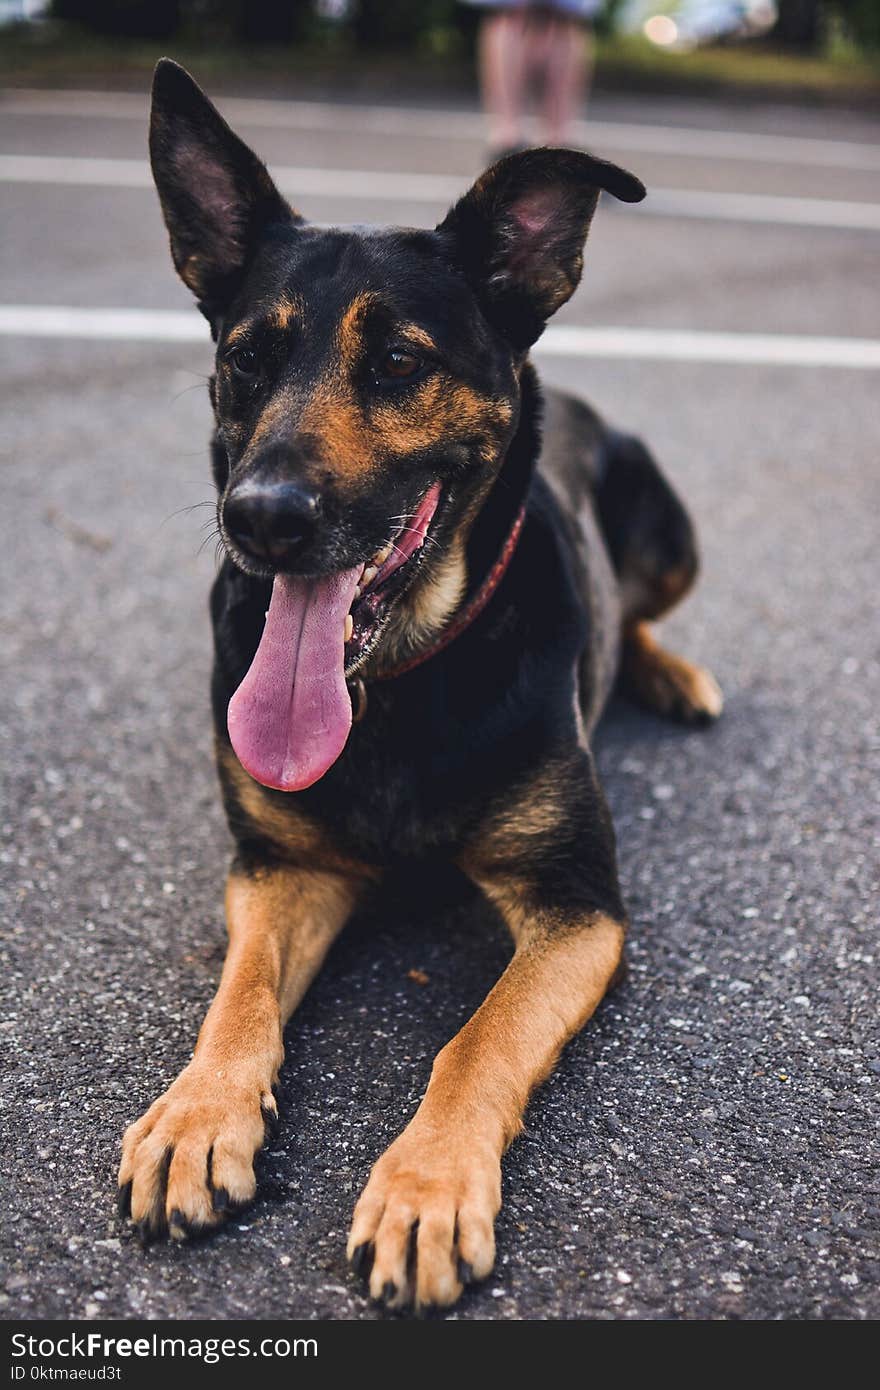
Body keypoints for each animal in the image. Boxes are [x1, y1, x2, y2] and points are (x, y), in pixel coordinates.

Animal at [116, 56, 722, 1312]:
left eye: (399, 362)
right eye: (247, 359)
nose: (260, 520)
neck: (394, 681)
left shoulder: (576, 910)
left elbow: (475, 1037)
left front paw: (426, 1184)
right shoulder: (282, 872)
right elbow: (239, 995)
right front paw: (197, 1114)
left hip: (667, 523)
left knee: (646, 607)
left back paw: (672, 672)